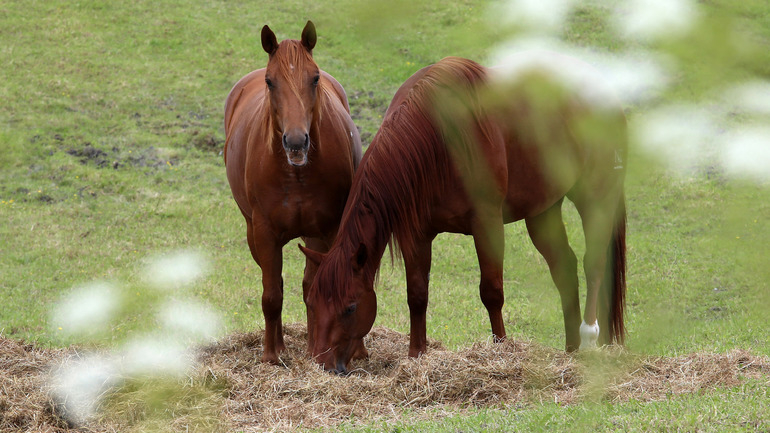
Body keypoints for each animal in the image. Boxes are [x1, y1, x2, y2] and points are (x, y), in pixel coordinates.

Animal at [224, 22, 362, 362]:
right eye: (270, 81)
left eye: (315, 78)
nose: (296, 142)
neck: (296, 173)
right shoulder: (264, 233)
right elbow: (272, 294)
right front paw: (271, 356)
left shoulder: (326, 230)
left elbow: (317, 287)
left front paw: (319, 349)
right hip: (253, 234)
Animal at [300, 53, 624, 372]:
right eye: (312, 303)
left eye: (350, 307)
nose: (321, 364)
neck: (437, 142)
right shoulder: (417, 235)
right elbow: (417, 294)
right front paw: (416, 355)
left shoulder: (487, 224)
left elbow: (491, 291)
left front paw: (501, 349)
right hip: (543, 211)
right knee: (565, 268)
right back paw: (571, 351)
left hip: (594, 196)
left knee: (593, 263)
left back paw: (589, 337)